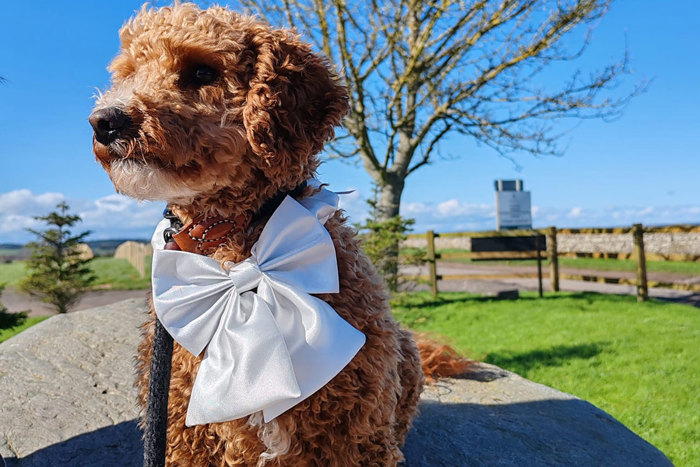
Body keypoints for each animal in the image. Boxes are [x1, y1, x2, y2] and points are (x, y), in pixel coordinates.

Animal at [90, 3, 468, 467]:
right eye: (128, 73)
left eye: (202, 71)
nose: (104, 121)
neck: (237, 241)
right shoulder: (181, 433)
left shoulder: (357, 434)